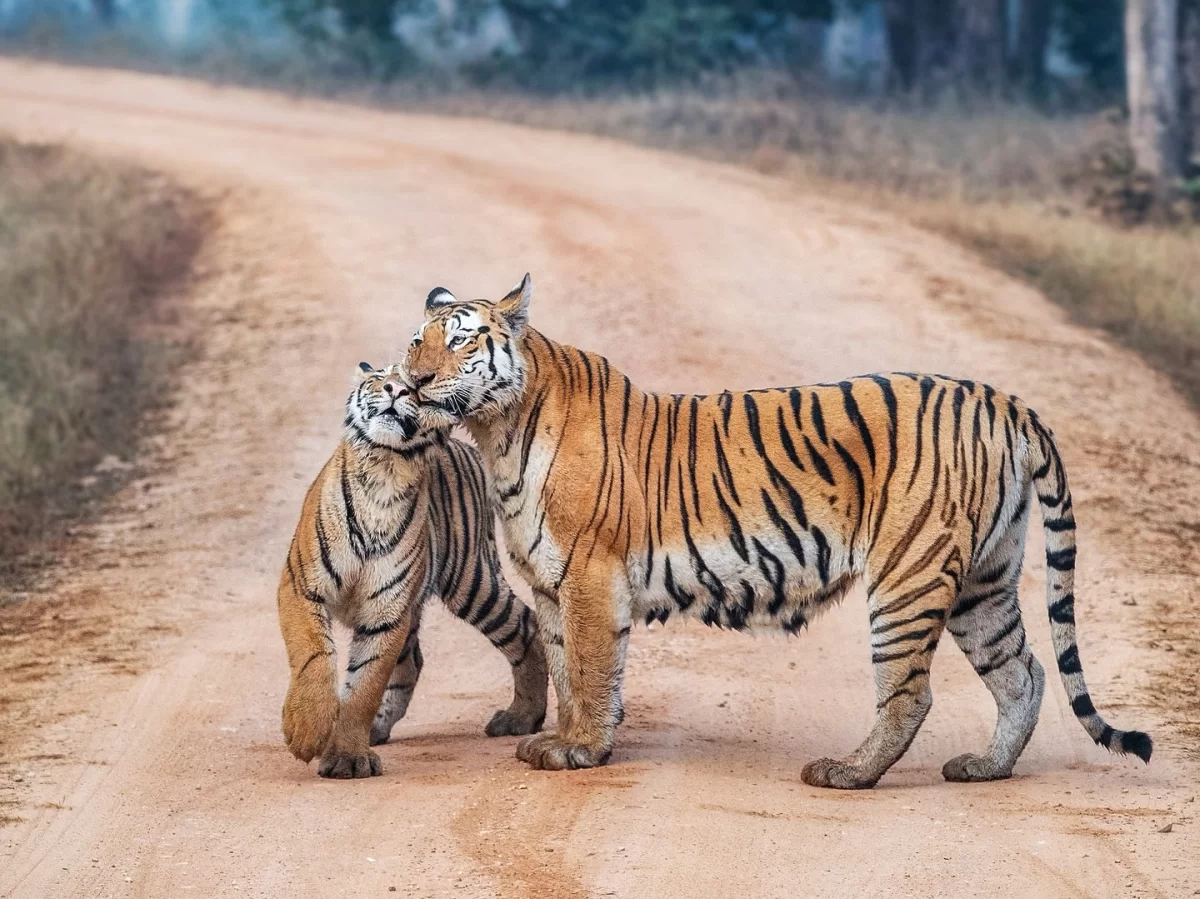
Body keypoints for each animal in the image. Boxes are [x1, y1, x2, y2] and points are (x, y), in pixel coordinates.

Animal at [276, 362, 547, 778]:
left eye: (414, 386)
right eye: (379, 378)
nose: (395, 390)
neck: (385, 470)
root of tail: (466, 449)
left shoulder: (387, 612)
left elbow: (366, 684)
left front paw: (346, 756)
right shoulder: (301, 585)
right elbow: (314, 655)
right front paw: (307, 731)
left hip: (471, 582)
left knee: (525, 623)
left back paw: (521, 718)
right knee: (413, 662)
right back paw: (378, 728)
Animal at [402, 273, 1152, 788]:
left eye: (461, 340)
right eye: (417, 340)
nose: (413, 381)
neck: (497, 431)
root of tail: (1001, 399)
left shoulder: (589, 573)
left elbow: (589, 667)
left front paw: (579, 747)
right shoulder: (552, 581)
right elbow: (563, 663)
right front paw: (565, 738)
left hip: (908, 575)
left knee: (912, 691)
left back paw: (848, 773)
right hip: (984, 580)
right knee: (1023, 671)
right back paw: (986, 766)